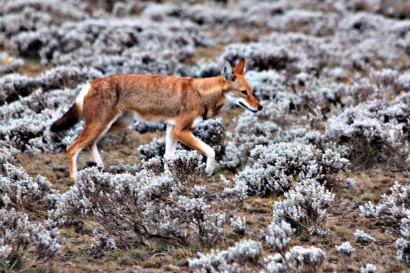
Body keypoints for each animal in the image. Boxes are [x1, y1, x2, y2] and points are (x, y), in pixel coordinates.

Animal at [51, 58, 262, 178]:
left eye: (252, 91)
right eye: (244, 93)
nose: (259, 107)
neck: (201, 94)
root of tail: (90, 83)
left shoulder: (172, 130)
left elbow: (168, 157)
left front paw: (168, 180)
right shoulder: (181, 130)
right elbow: (210, 151)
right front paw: (209, 171)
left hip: (114, 126)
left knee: (90, 144)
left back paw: (100, 168)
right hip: (101, 126)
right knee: (72, 148)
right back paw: (76, 181)